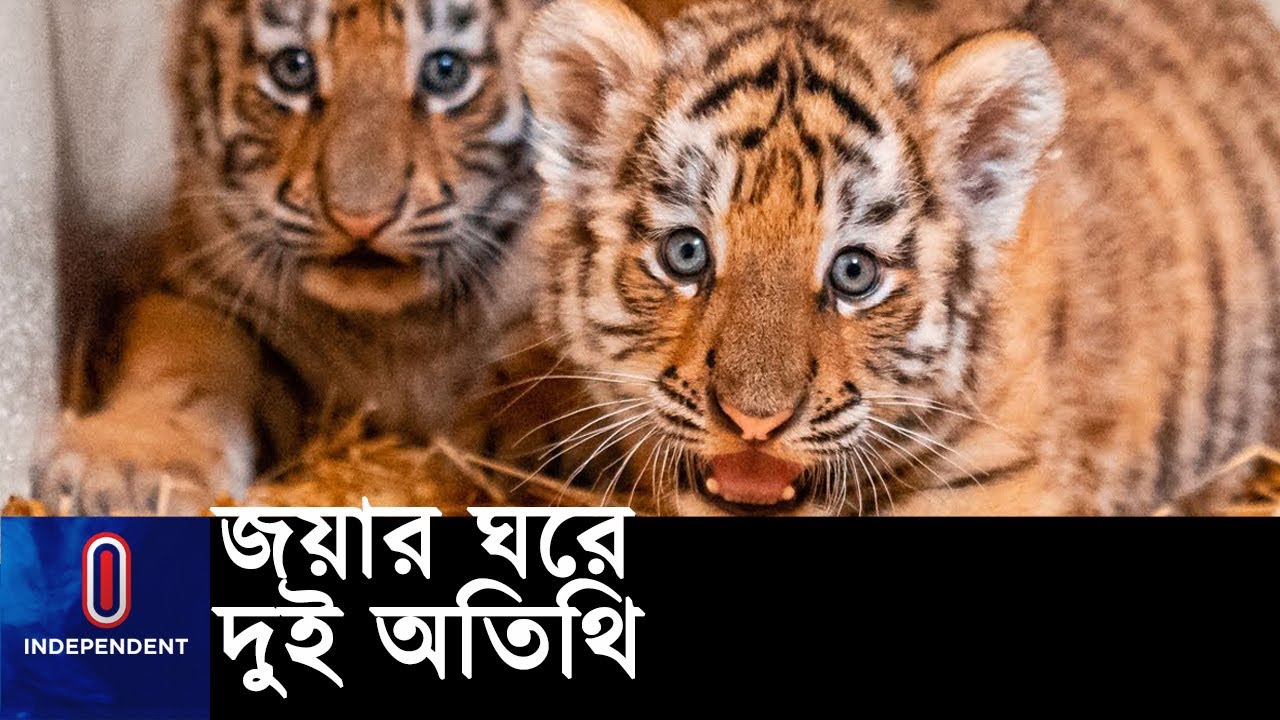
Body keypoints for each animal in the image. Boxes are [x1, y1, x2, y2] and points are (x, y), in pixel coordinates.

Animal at [33, 0, 547, 515]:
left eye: (446, 71)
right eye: (293, 69)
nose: (361, 220)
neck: (395, 330)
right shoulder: (202, 292)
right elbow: (185, 365)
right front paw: (126, 472)